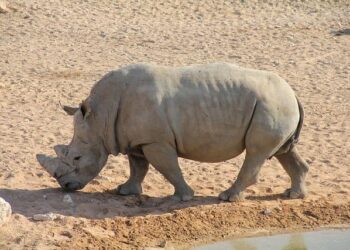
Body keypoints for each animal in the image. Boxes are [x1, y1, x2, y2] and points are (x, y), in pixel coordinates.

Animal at [36, 62, 308, 201]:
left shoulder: (155, 141)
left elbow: (168, 168)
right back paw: (293, 195)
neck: (100, 116)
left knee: (256, 152)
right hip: (276, 104)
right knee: (284, 151)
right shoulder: (136, 140)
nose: (65, 186)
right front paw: (124, 191)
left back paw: (227, 197)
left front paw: (184, 197)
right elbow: (138, 167)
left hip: (272, 104)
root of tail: (293, 93)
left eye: (77, 157)